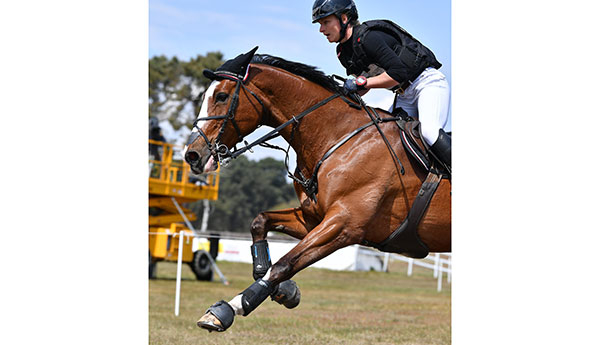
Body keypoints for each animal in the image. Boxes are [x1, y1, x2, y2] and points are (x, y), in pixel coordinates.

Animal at [183, 46, 450, 330]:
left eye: (222, 96)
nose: (192, 156)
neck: (336, 137)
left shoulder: (344, 224)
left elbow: (284, 264)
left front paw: (228, 309)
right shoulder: (314, 218)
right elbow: (260, 223)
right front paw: (283, 290)